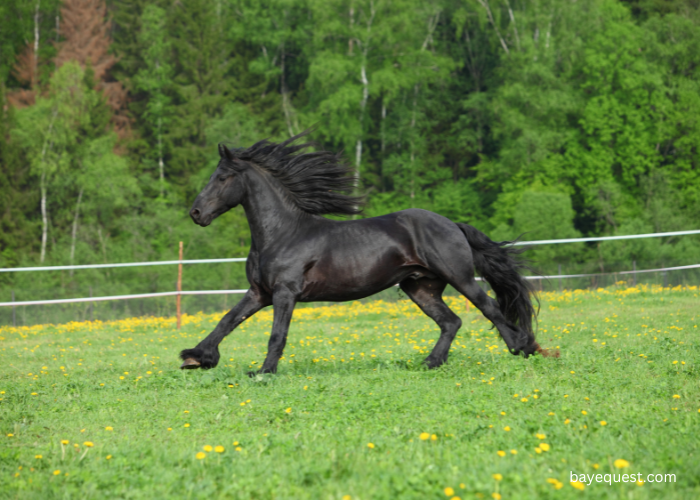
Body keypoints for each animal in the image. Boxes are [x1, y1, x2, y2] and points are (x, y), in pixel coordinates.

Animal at [179, 133, 548, 376]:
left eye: (223, 177)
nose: (196, 213)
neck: (282, 234)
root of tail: (451, 224)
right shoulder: (259, 292)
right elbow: (227, 320)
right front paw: (196, 357)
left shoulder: (285, 292)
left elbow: (276, 334)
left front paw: (263, 372)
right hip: (420, 287)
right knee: (451, 321)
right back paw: (430, 362)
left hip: (460, 277)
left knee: (489, 309)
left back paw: (523, 347)